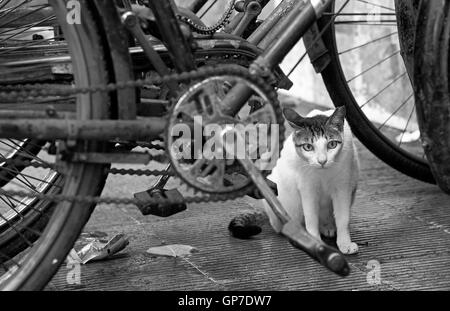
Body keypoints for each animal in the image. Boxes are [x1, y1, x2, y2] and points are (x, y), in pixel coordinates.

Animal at [230, 107, 360, 256]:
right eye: (308, 147)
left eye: (332, 144)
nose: (322, 161)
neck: (323, 174)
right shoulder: (307, 188)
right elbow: (311, 218)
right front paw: (315, 242)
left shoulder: (343, 187)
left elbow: (343, 218)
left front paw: (345, 243)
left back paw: (327, 226)